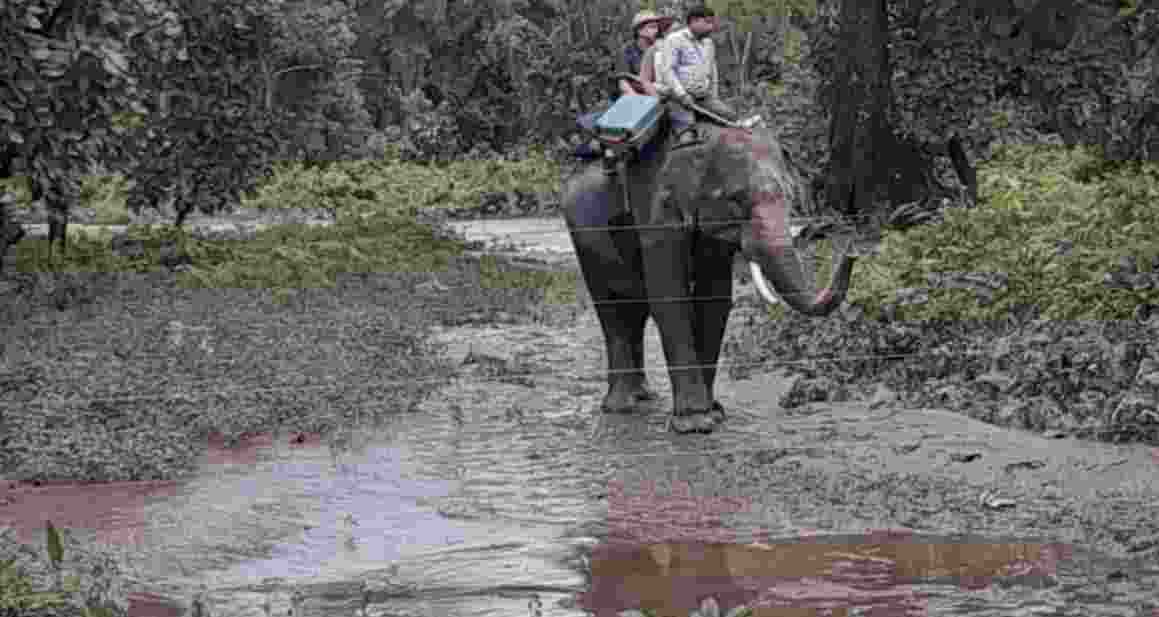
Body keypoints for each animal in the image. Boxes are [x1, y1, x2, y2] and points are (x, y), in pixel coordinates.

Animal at [562, 78, 857, 434]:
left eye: (789, 197)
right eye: (736, 200)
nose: (851, 251)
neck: (702, 138)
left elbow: (714, 298)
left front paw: (714, 413)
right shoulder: (658, 208)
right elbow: (670, 297)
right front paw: (695, 422)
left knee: (634, 310)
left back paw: (643, 396)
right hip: (583, 232)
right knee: (613, 309)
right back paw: (622, 406)